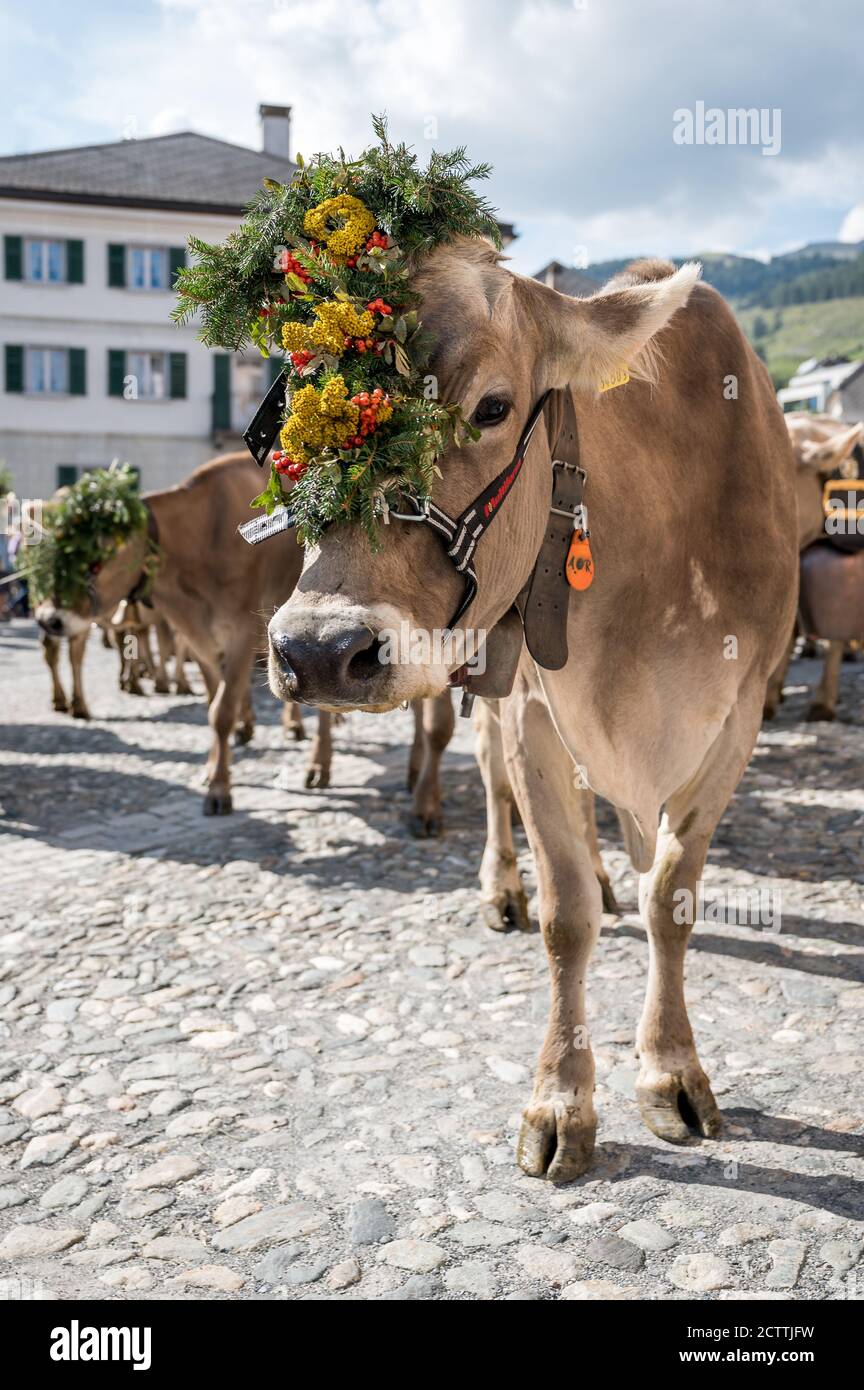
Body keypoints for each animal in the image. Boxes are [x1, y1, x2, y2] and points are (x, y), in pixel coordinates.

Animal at [264, 244, 798, 1179]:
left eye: (492, 407)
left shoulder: (737, 718)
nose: (319, 650)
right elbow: (566, 917)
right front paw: (561, 1102)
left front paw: (671, 1070)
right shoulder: (533, 713)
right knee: (492, 788)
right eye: (293, 425)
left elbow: (672, 895)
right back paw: (502, 886)